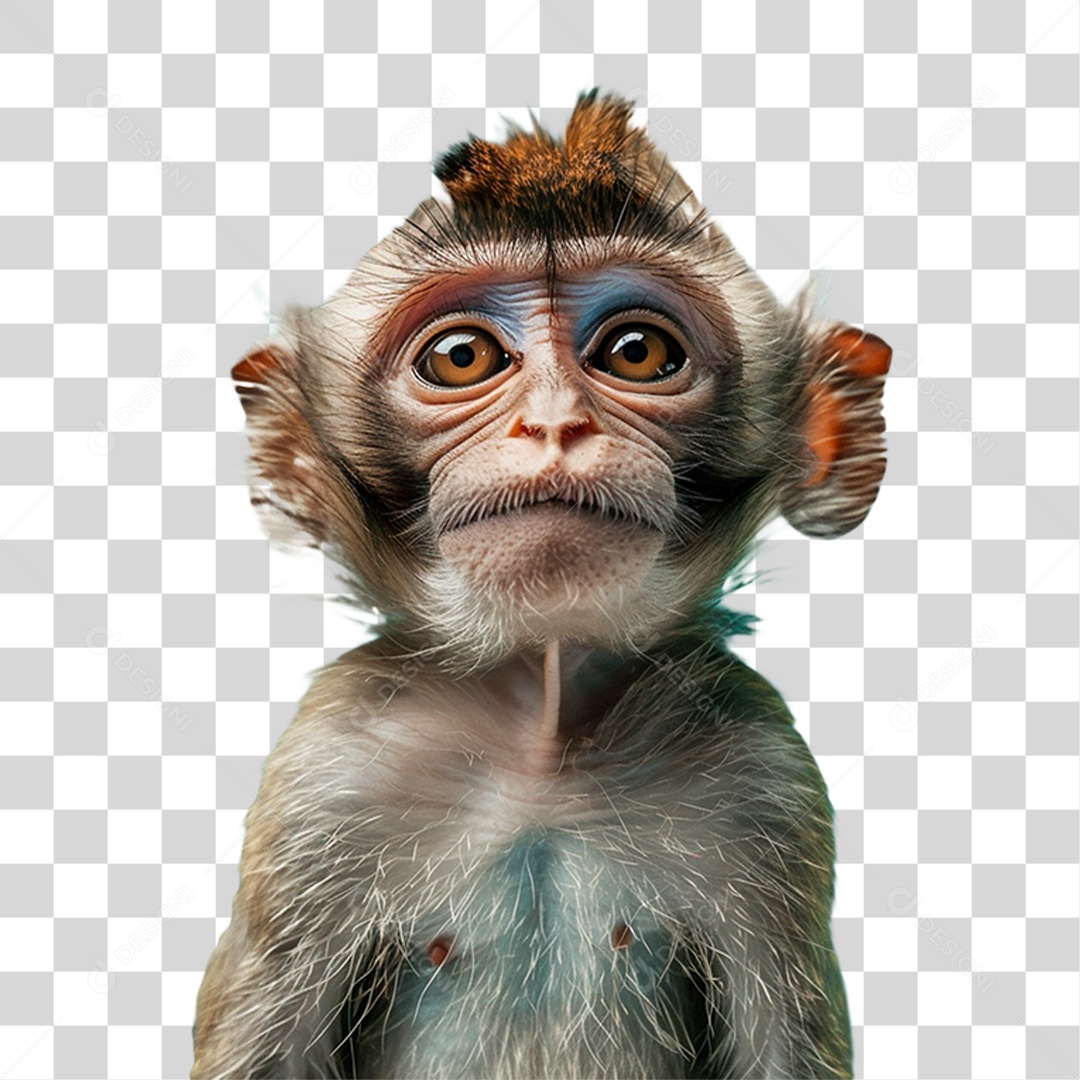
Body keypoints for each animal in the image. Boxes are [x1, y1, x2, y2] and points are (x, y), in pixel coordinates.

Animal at [191, 90, 890, 1080]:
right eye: (461, 358)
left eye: (637, 351)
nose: (554, 425)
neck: (542, 733)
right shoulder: (323, 778)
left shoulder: (766, 782)